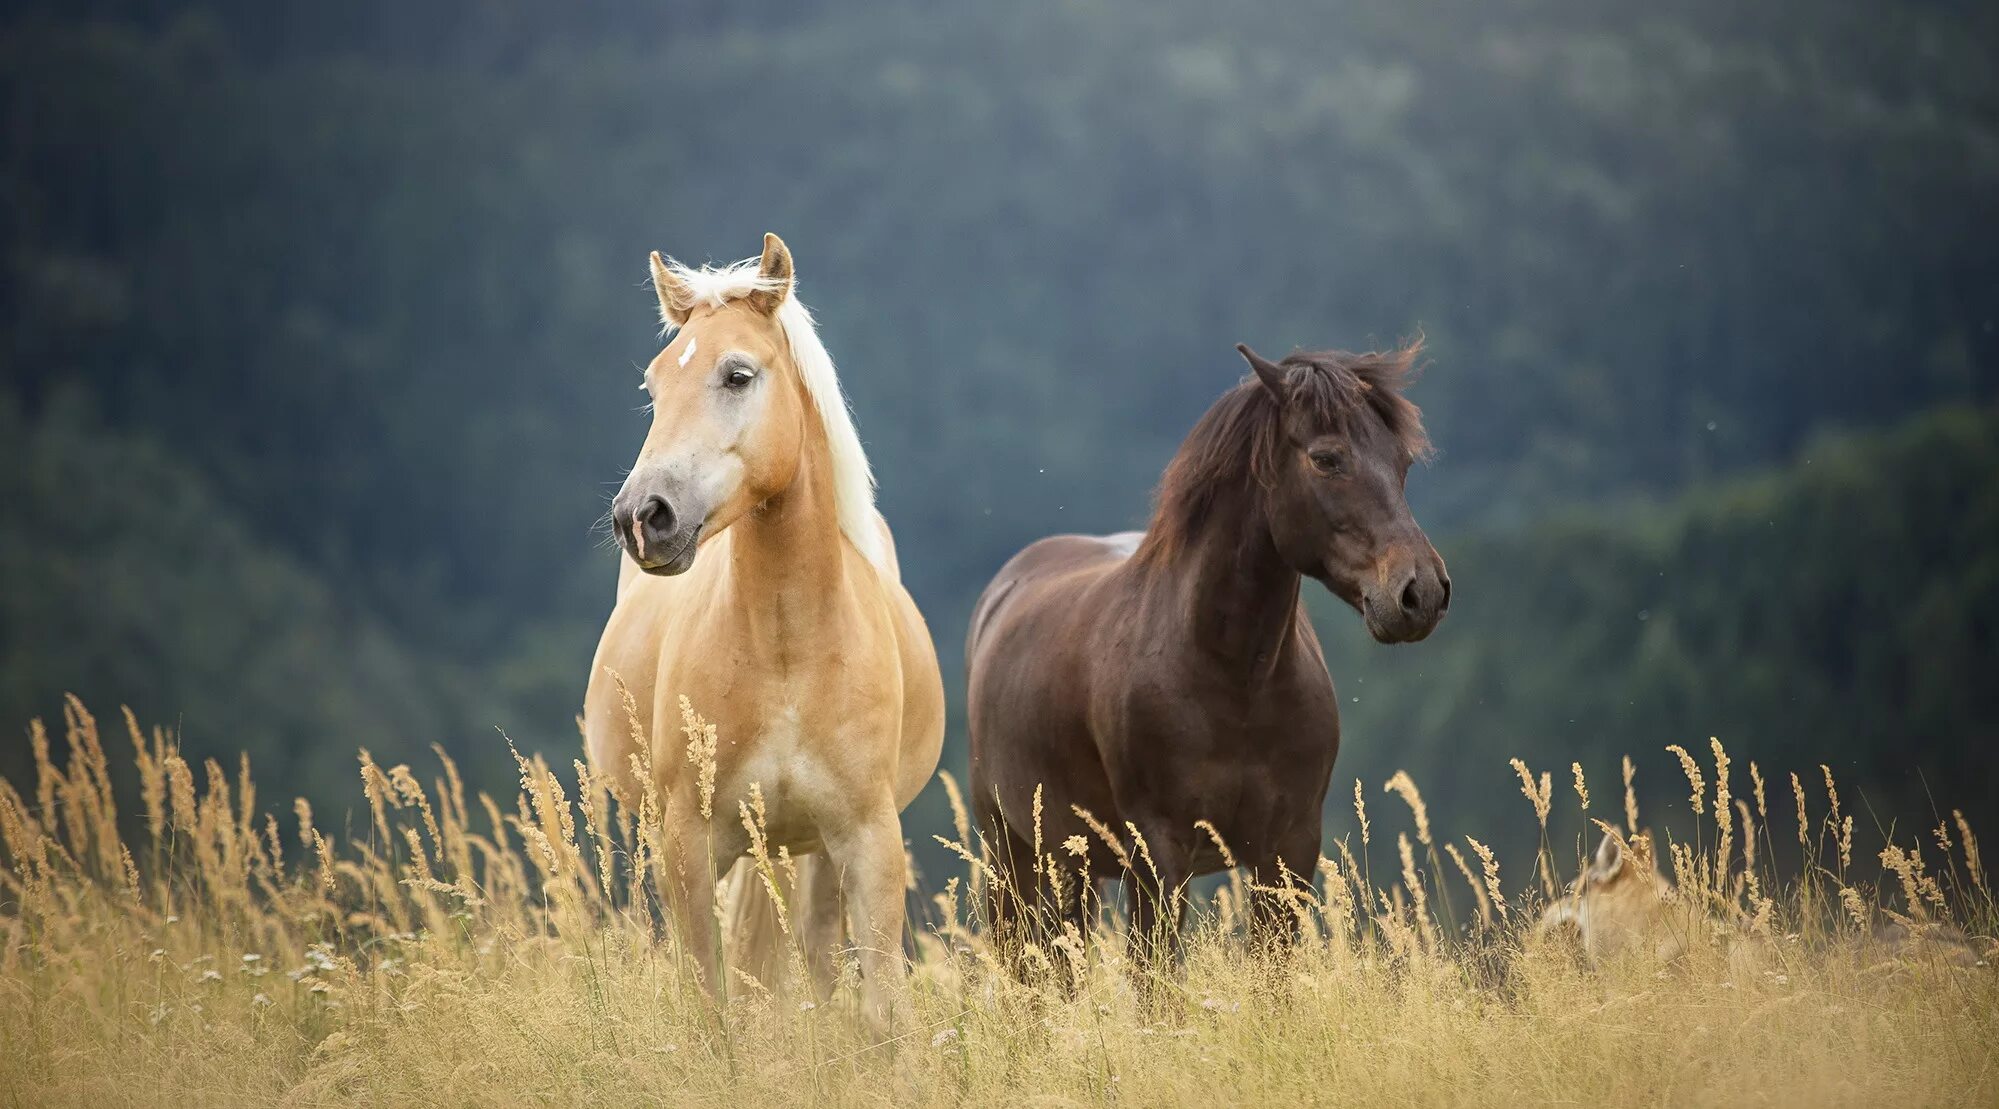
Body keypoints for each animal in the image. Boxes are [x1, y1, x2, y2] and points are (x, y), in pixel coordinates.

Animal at [583, 234, 943, 1023]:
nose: (642, 516)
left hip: (810, 854)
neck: (787, 652)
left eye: (737, 374)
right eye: (654, 385)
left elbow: (884, 1012)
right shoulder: (688, 845)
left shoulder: (869, 841)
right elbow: (713, 1007)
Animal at [959, 337, 1447, 955]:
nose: (1421, 592)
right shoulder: (1159, 853)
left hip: (1075, 863)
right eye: (1326, 459)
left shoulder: (1289, 851)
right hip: (1011, 853)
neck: (1235, 681)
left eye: (1401, 463)